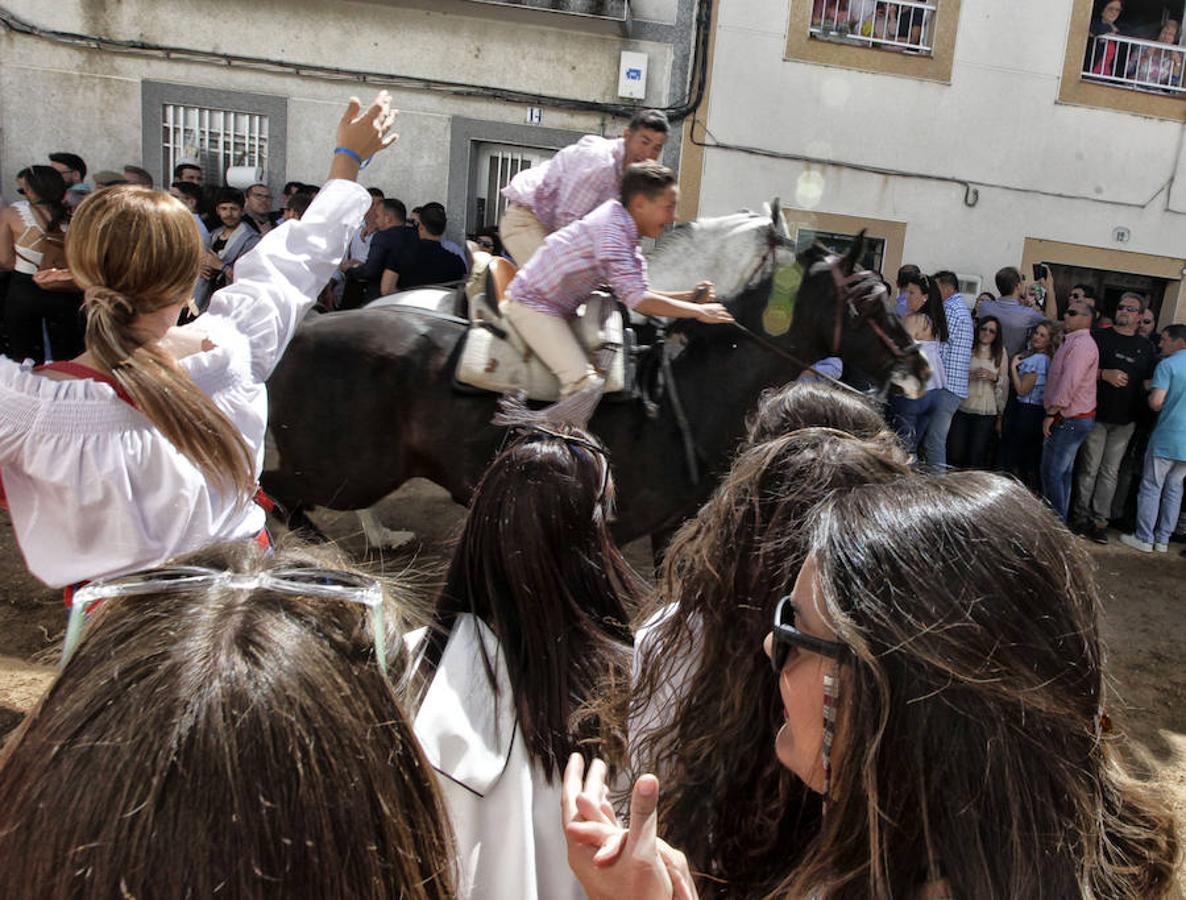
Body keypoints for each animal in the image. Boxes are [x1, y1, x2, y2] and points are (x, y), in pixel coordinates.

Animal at [264, 207, 920, 552]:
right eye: (868, 299)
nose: (918, 368)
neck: (684, 387)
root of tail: (305, 327)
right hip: (343, 468)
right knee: (276, 493)